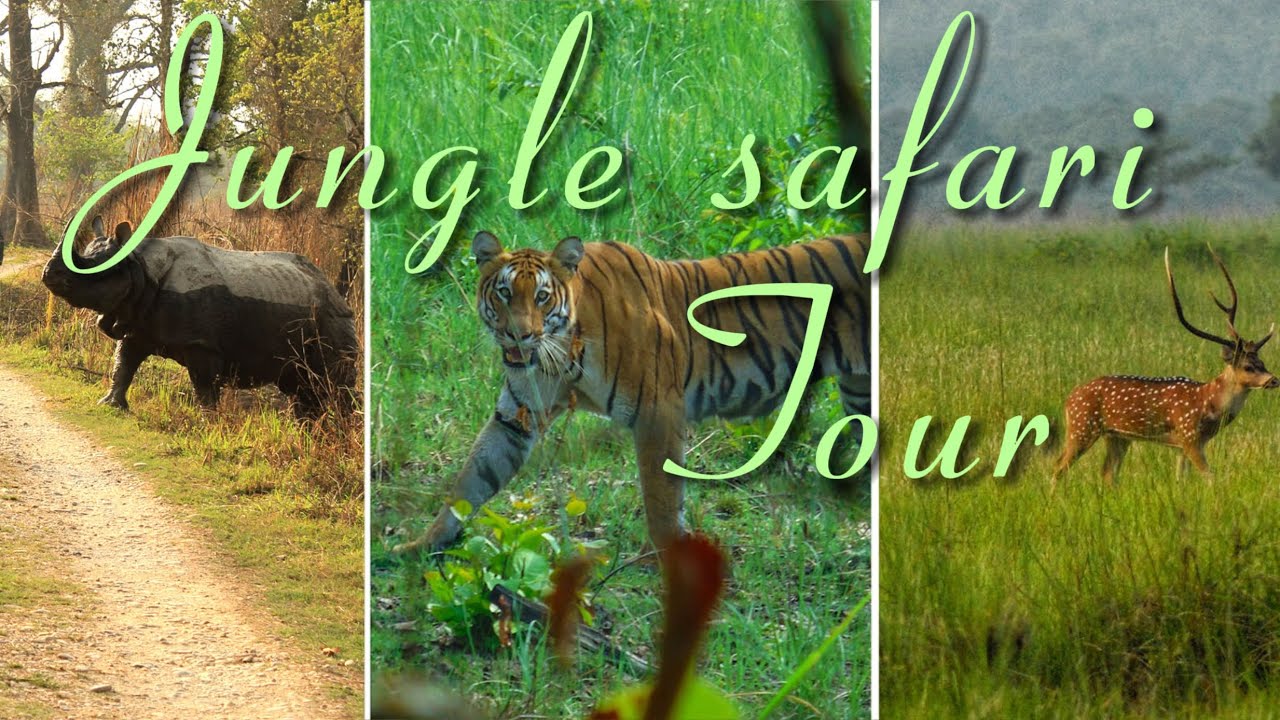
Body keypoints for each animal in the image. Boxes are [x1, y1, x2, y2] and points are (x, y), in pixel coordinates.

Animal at [394, 230, 872, 557]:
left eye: (543, 297)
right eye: (505, 292)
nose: (519, 335)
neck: (563, 349)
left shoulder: (658, 412)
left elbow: (660, 494)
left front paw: (663, 557)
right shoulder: (516, 416)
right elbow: (472, 480)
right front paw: (424, 544)